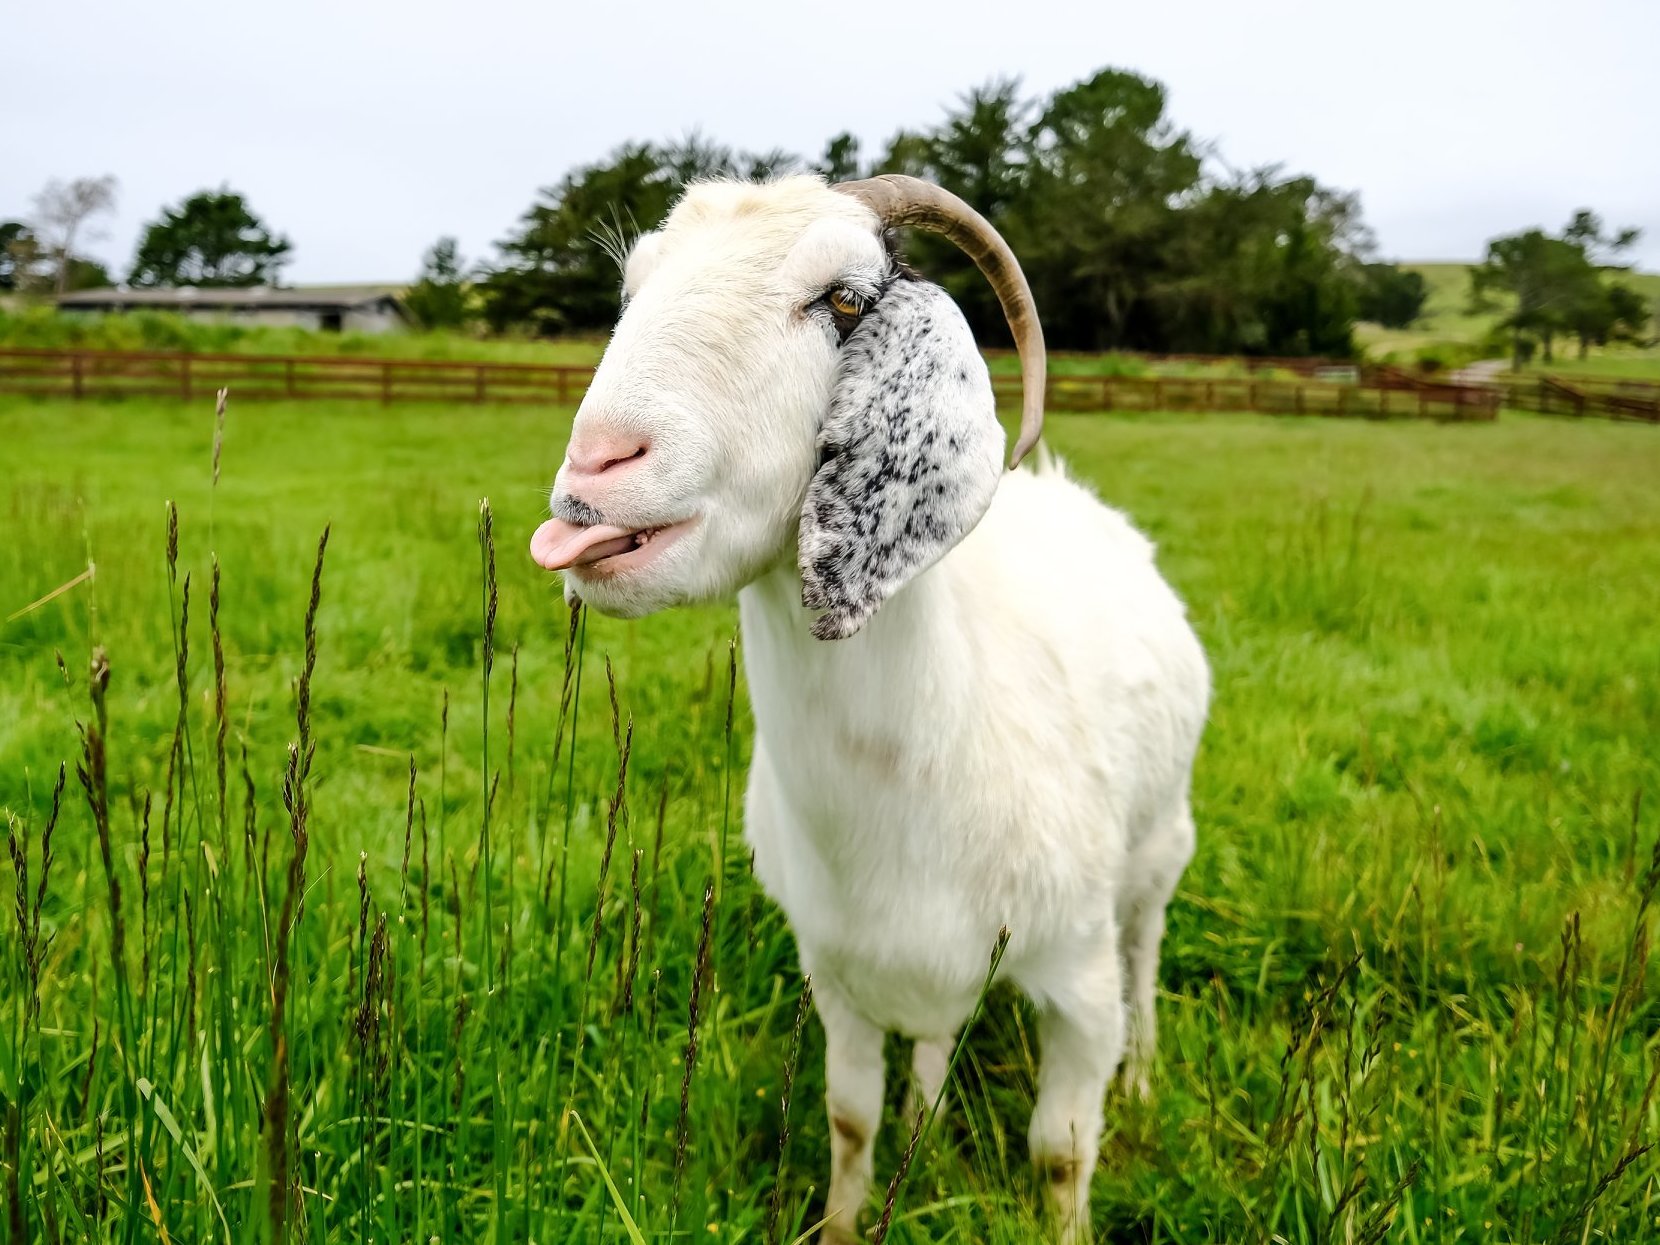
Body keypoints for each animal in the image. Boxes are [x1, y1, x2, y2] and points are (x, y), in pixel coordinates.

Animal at [530, 174, 1209, 1242]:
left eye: (845, 299)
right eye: (632, 289)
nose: (599, 466)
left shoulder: (1076, 980)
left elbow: (1061, 1154)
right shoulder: (837, 968)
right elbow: (850, 1118)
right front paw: (849, 1218)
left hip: (1157, 853)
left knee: (1145, 953)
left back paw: (1143, 1076)